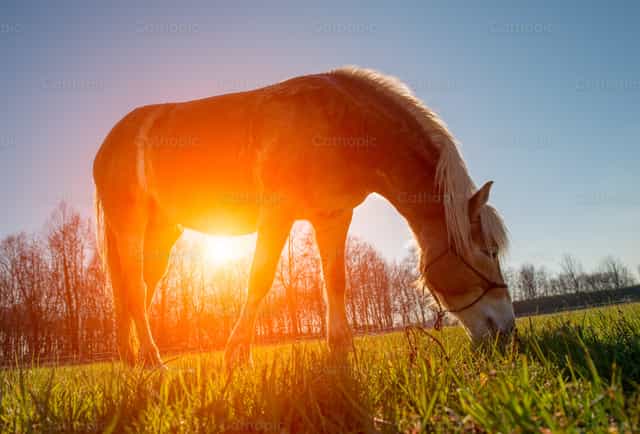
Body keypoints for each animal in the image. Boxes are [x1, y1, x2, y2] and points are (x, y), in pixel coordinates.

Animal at [93, 66, 515, 368]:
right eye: (489, 251)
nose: (506, 330)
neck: (340, 124)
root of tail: (110, 141)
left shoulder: (333, 218)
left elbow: (336, 281)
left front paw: (341, 349)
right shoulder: (277, 214)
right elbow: (259, 278)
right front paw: (236, 355)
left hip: (162, 234)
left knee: (136, 290)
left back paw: (134, 360)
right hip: (130, 227)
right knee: (134, 290)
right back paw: (152, 361)